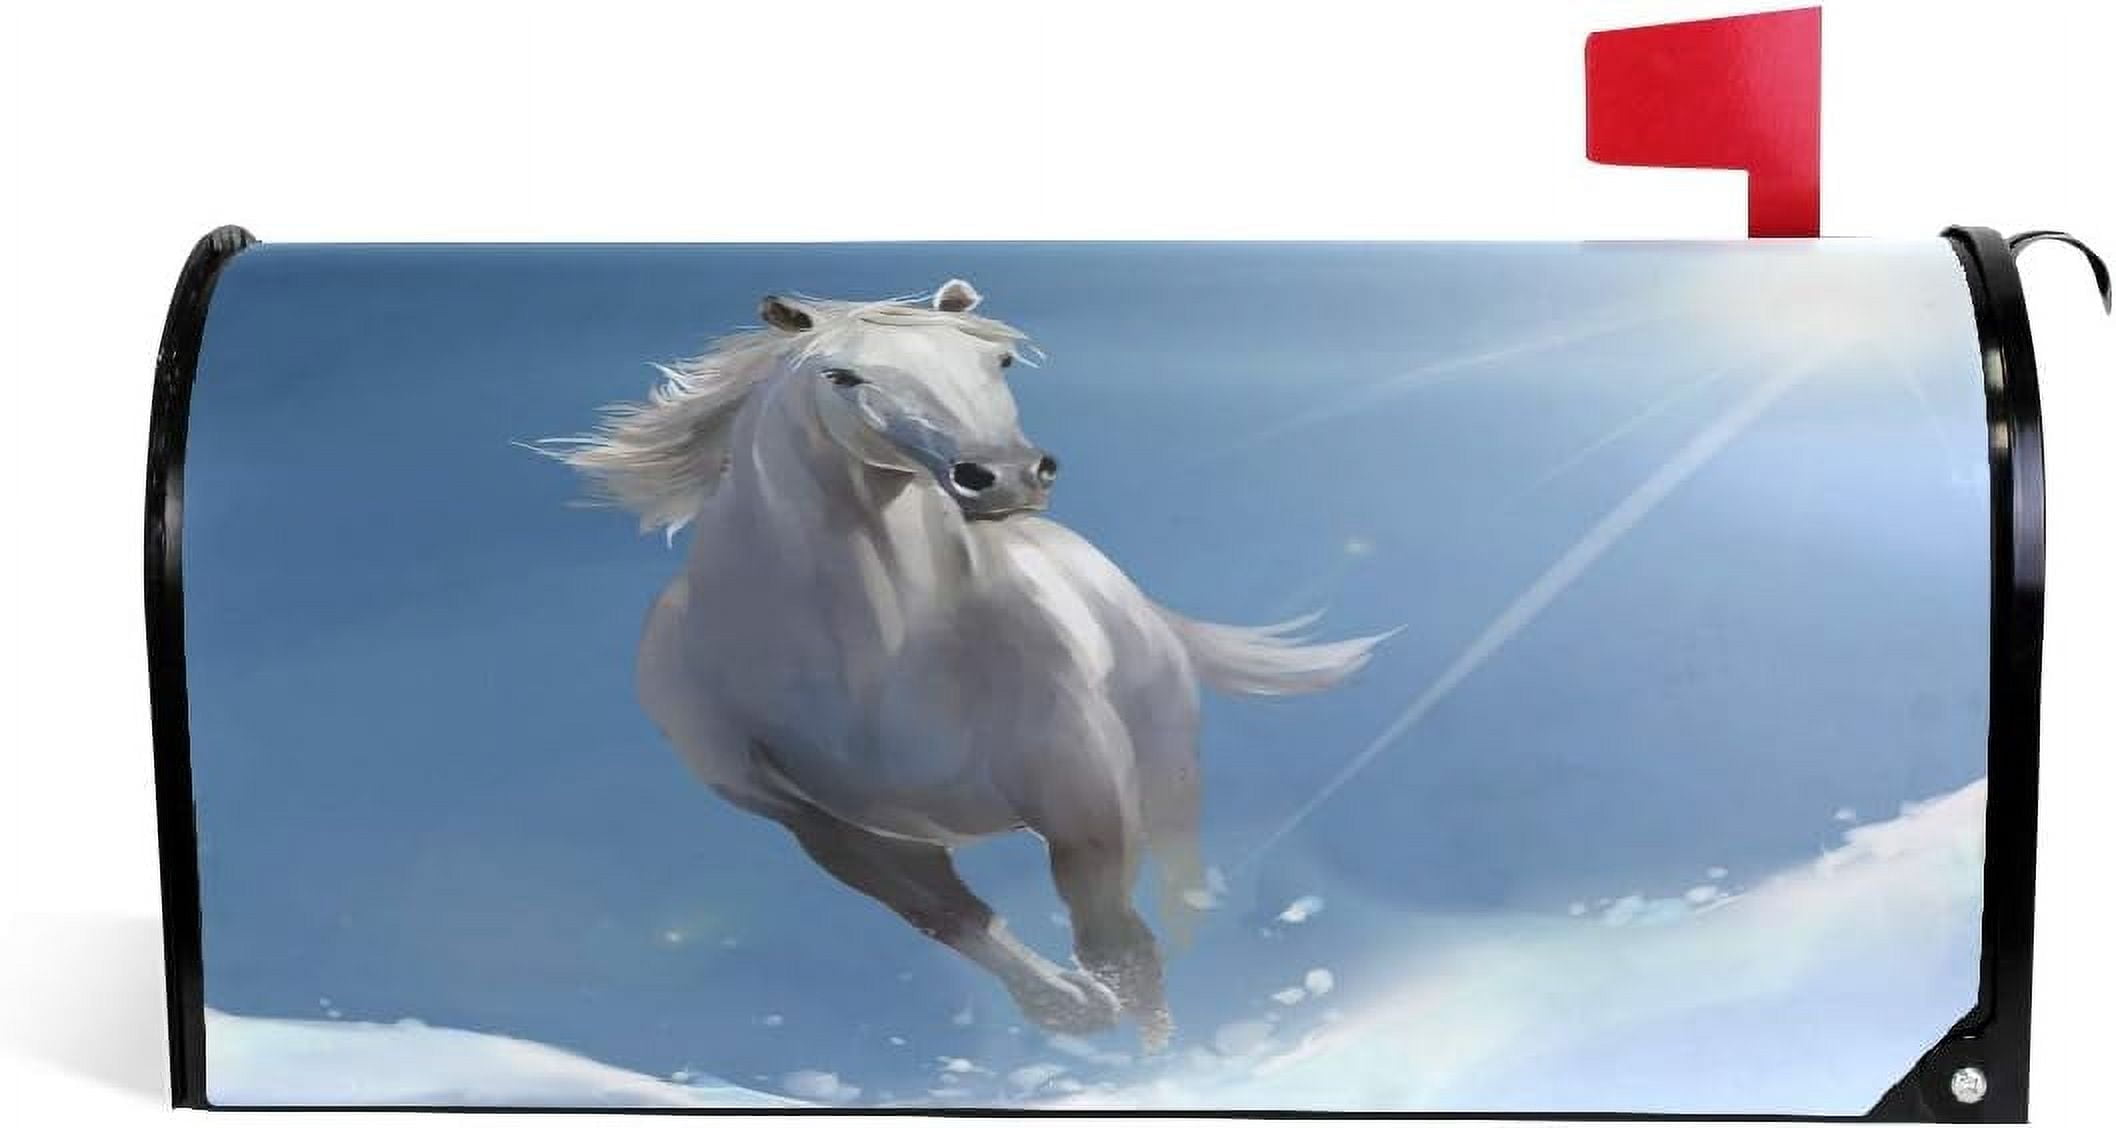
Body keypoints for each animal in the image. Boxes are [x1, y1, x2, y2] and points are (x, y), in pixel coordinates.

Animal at [543, 278, 1385, 1048]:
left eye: (998, 360)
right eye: (843, 377)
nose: (1005, 476)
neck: (870, 659)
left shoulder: (1082, 796)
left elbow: (1118, 946)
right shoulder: (819, 823)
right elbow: (949, 918)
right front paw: (1069, 1009)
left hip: (1168, 769)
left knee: (1182, 887)